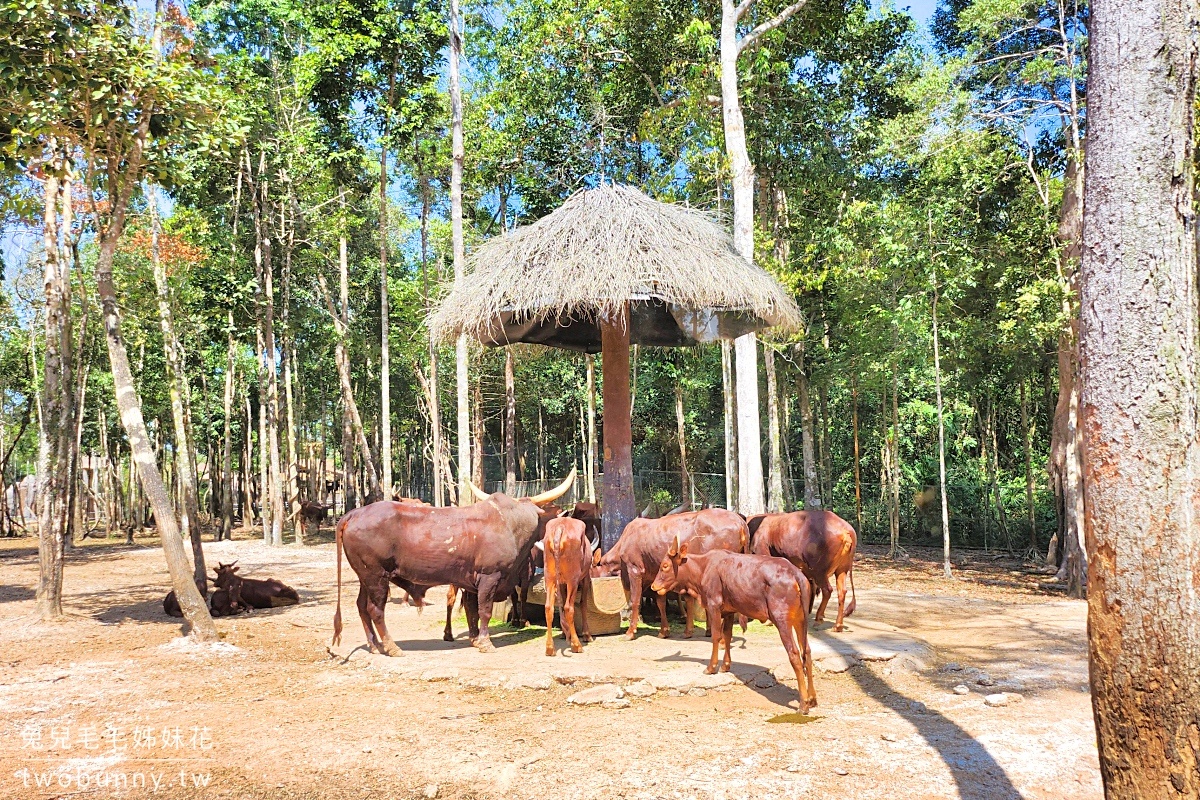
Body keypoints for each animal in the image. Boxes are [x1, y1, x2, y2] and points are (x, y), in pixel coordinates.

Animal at [328, 465, 571, 652]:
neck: (510, 523)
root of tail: (354, 514)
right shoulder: (489, 577)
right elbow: (484, 610)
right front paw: (485, 642)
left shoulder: (472, 582)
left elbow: (472, 609)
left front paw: (474, 639)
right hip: (376, 576)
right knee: (375, 609)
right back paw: (391, 646)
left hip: (365, 575)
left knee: (361, 606)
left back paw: (374, 645)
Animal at [537, 520, 597, 657]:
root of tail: (560, 526)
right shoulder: (585, 579)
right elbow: (583, 604)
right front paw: (587, 635)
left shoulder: (561, 583)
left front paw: (565, 634)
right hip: (572, 580)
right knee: (569, 608)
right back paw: (576, 645)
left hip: (550, 578)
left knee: (549, 608)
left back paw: (550, 648)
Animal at [592, 510, 748, 642]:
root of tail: (740, 521)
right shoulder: (655, 577)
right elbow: (660, 601)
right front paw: (664, 631)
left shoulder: (635, 570)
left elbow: (635, 600)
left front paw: (630, 632)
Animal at [652, 537, 820, 714]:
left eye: (665, 565)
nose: (653, 586)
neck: (702, 570)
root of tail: (795, 573)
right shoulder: (729, 610)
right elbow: (727, 636)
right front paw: (726, 665)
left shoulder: (713, 605)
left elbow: (716, 636)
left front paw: (711, 667)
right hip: (800, 620)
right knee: (806, 651)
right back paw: (812, 698)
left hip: (782, 620)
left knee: (794, 653)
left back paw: (803, 704)